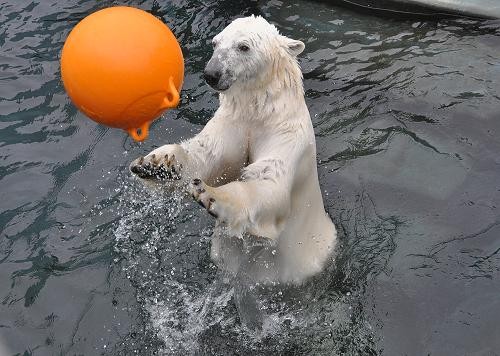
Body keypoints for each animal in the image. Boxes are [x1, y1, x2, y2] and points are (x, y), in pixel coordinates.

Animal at [131, 15, 338, 286]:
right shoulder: (234, 122)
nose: (211, 74)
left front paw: (210, 195)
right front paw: (156, 165)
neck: (259, 111)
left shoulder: (286, 133)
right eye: (215, 43)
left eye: (243, 47)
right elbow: (209, 155)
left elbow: (268, 180)